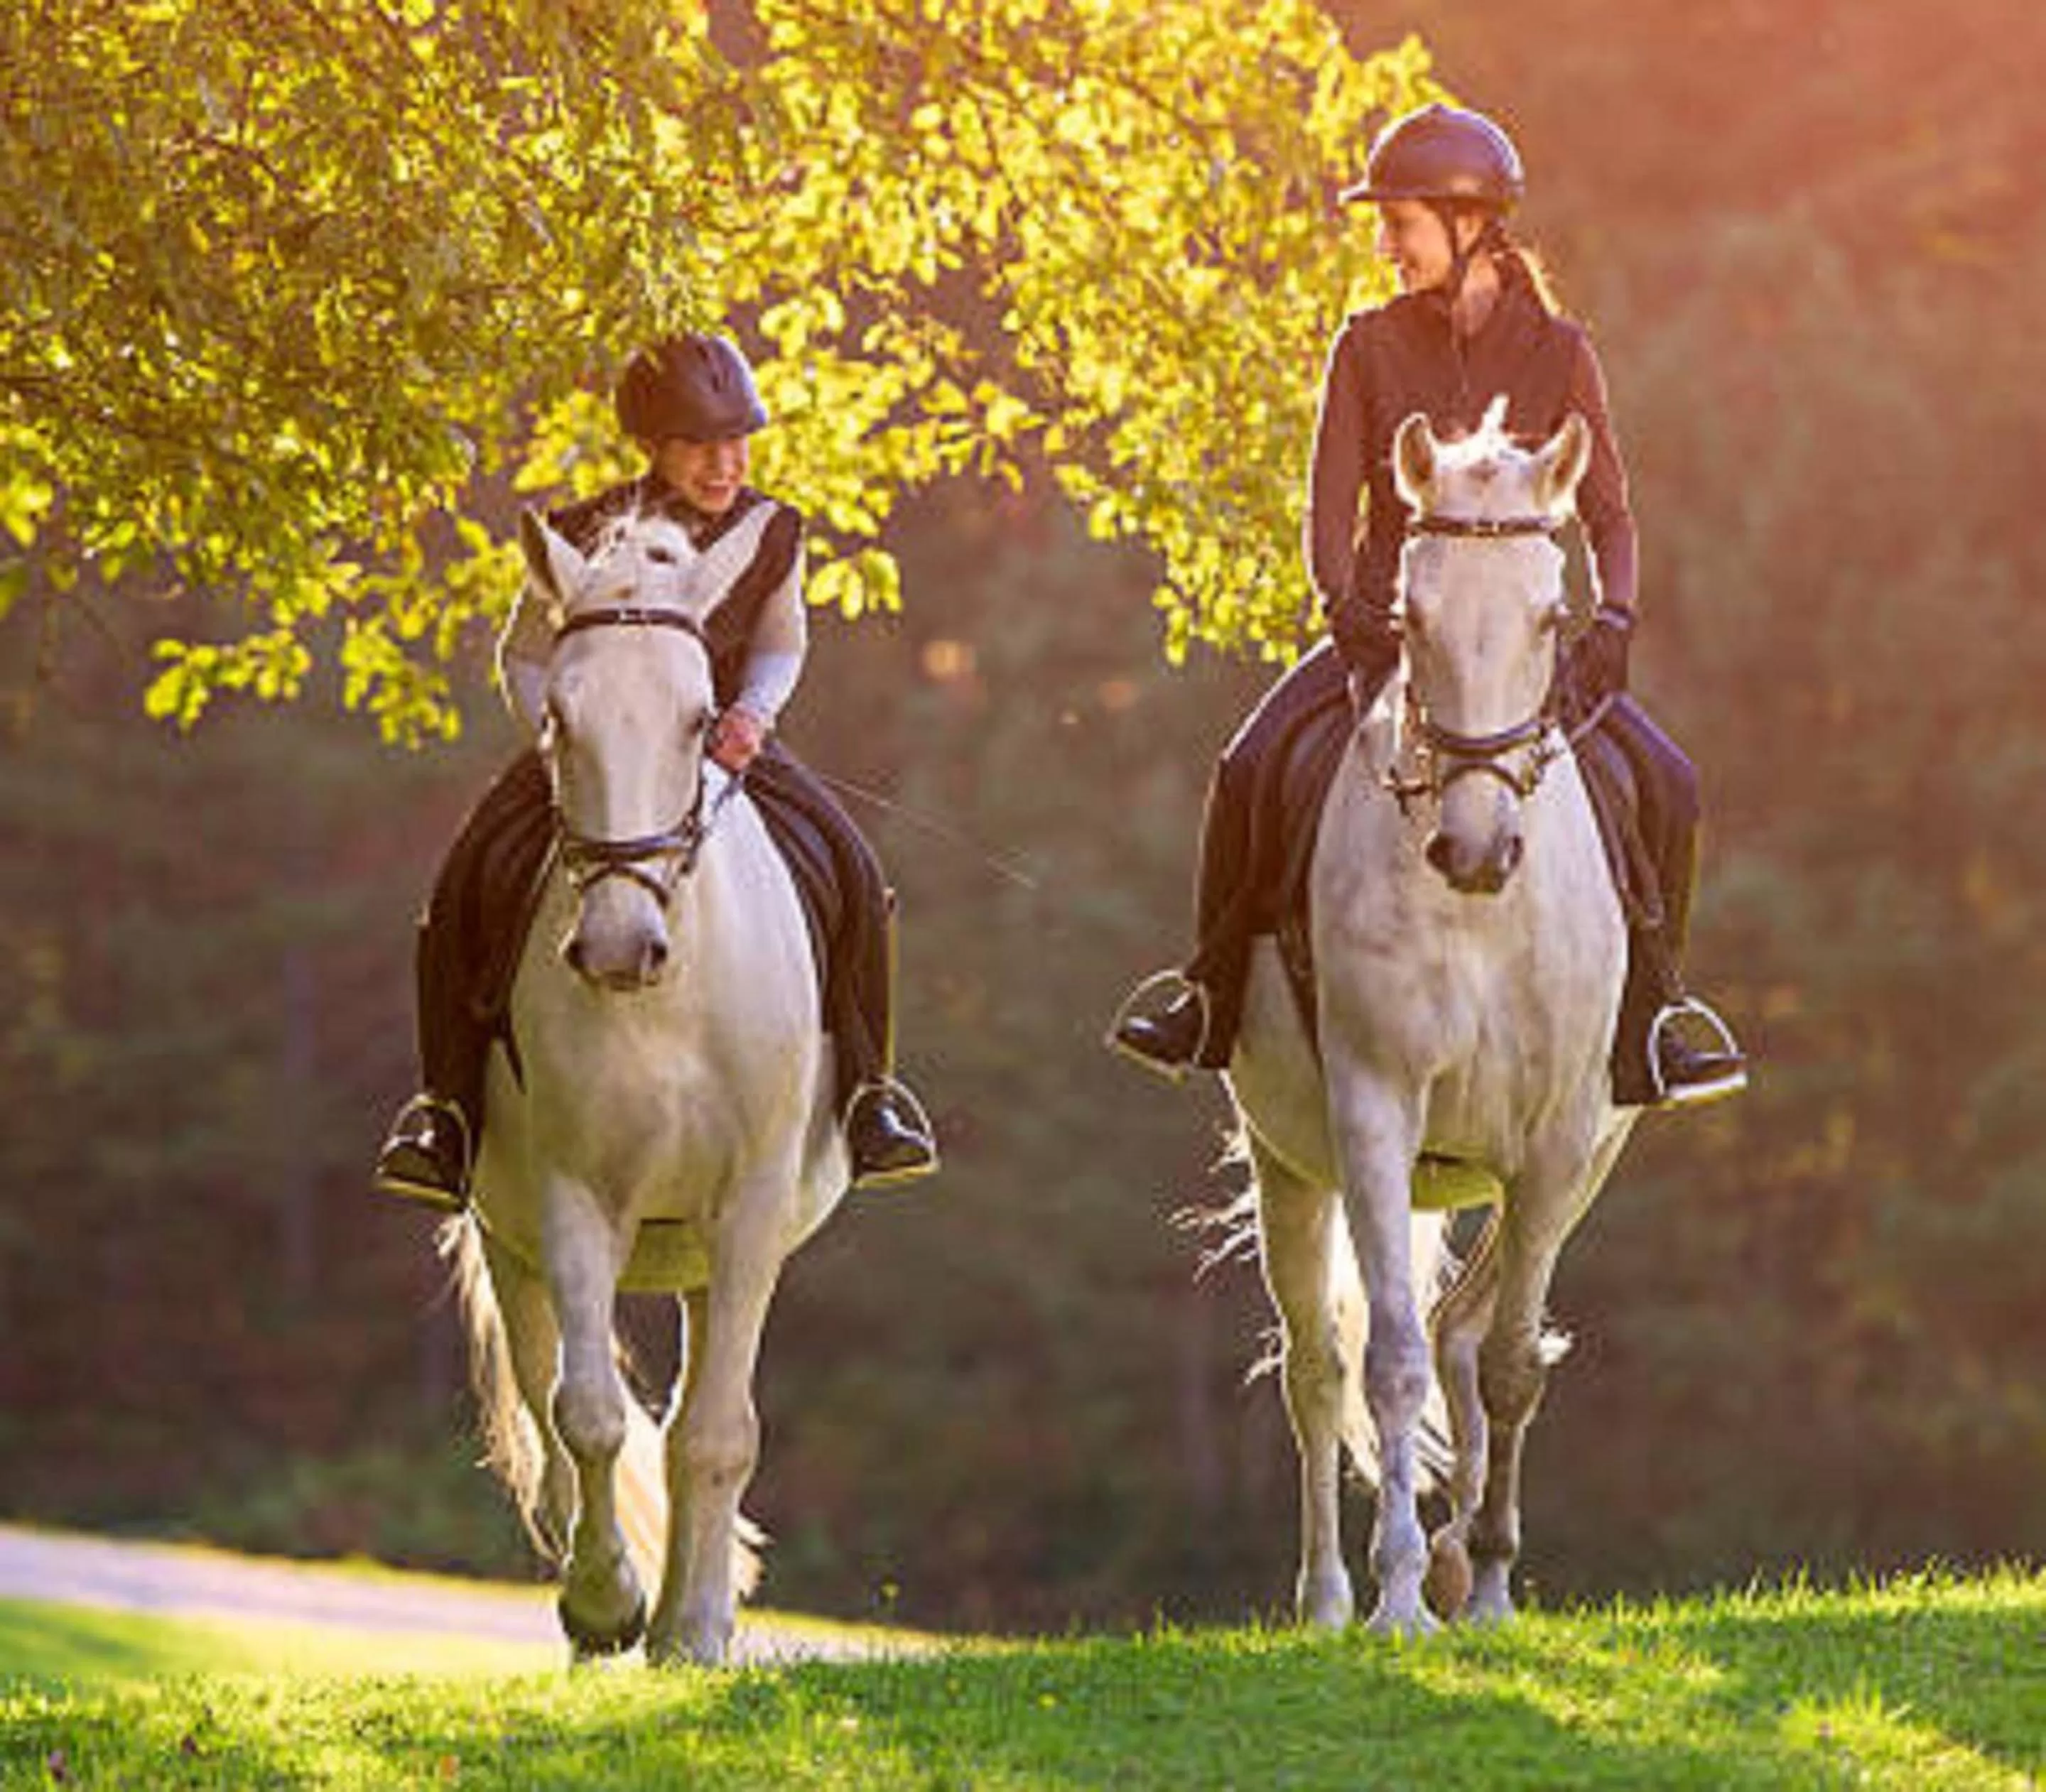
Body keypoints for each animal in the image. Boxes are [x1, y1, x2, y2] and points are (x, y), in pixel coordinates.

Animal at [442, 506, 853, 1665]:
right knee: (556, 1406)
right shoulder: (570, 1198)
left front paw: (698, 1631)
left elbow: (715, 1433)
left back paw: (683, 1622)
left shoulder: (751, 1209)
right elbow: (584, 1412)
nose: (621, 947)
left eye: (701, 717)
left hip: (716, 1257)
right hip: (513, 1241)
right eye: (560, 721)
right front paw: (603, 1606)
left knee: (691, 1425)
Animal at [1226, 403, 1638, 1634]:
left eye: (1554, 615)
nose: (1475, 848)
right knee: (1317, 1365)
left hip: (1564, 1167)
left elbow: (1507, 1363)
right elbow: (1392, 1362)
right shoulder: (1371, 1115)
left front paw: (1489, 1578)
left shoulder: (1558, 1142)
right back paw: (1326, 1596)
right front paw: (1400, 1593)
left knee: (1469, 1325)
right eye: (1411, 616)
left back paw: (1463, 1557)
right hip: (1286, 1159)